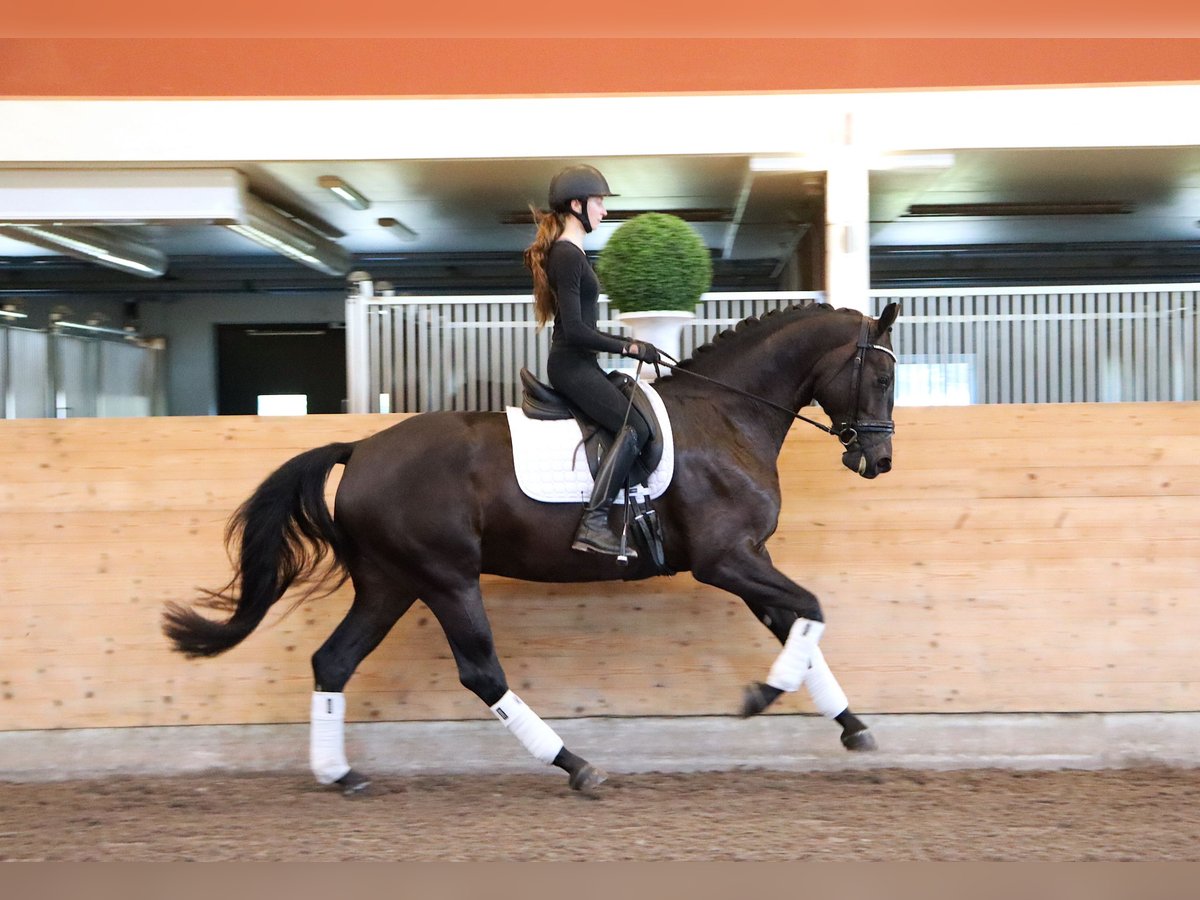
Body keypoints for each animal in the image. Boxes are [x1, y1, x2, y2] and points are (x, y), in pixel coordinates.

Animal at [166, 303, 902, 796]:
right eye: (884, 379)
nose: (879, 461)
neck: (726, 416)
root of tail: (362, 449)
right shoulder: (727, 559)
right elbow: (812, 611)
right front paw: (759, 696)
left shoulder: (750, 559)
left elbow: (801, 629)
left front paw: (852, 727)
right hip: (446, 578)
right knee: (480, 672)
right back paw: (576, 766)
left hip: (389, 583)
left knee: (334, 661)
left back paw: (339, 774)